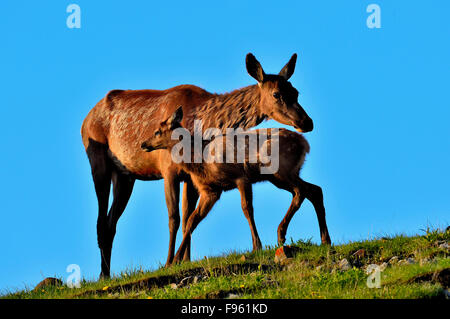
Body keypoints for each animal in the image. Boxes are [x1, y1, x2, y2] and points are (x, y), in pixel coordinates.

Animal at [81, 52, 312, 278]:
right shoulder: (169, 170)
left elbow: (187, 217)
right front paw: (169, 262)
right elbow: (174, 217)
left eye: (296, 92)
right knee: (101, 220)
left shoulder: (192, 177)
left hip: (126, 176)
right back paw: (103, 275)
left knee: (111, 221)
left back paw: (106, 272)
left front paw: (184, 260)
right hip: (97, 161)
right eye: (276, 94)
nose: (307, 122)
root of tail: (86, 119)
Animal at [142, 107, 332, 262]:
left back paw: (281, 233)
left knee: (301, 191)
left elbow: (247, 209)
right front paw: (175, 260)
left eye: (157, 132)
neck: (201, 160)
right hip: (282, 175)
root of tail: (304, 143)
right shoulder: (211, 190)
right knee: (314, 190)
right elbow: (193, 220)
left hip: (279, 169)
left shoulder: (240, 176)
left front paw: (257, 246)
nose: (143, 144)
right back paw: (325, 240)